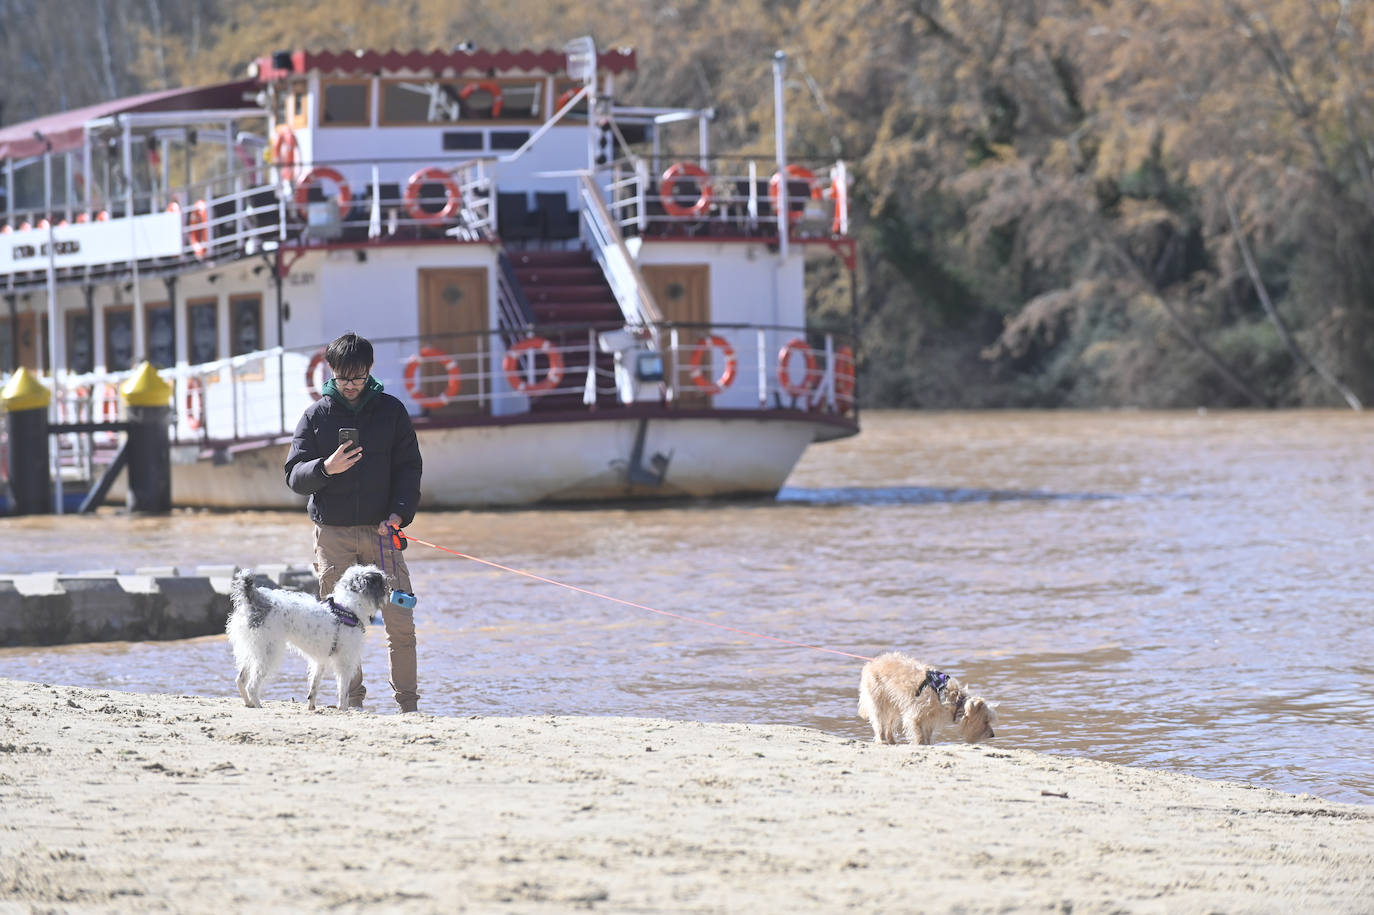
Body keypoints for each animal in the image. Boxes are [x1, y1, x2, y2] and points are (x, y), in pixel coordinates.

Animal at [225, 560, 387, 708]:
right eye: (382, 582)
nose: (391, 588)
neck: (347, 608)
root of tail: (254, 600)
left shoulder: (320, 660)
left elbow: (314, 688)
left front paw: (311, 707)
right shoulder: (344, 663)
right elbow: (343, 692)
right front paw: (343, 710)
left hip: (252, 651)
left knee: (240, 680)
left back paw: (249, 703)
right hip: (268, 653)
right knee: (251, 686)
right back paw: (258, 705)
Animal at [857, 648, 1000, 741]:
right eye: (986, 720)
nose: (992, 735)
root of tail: (871, 663)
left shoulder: (929, 720)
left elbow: (927, 736)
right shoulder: (915, 716)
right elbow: (919, 736)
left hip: (894, 706)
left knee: (888, 726)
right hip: (879, 703)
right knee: (879, 724)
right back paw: (882, 740)